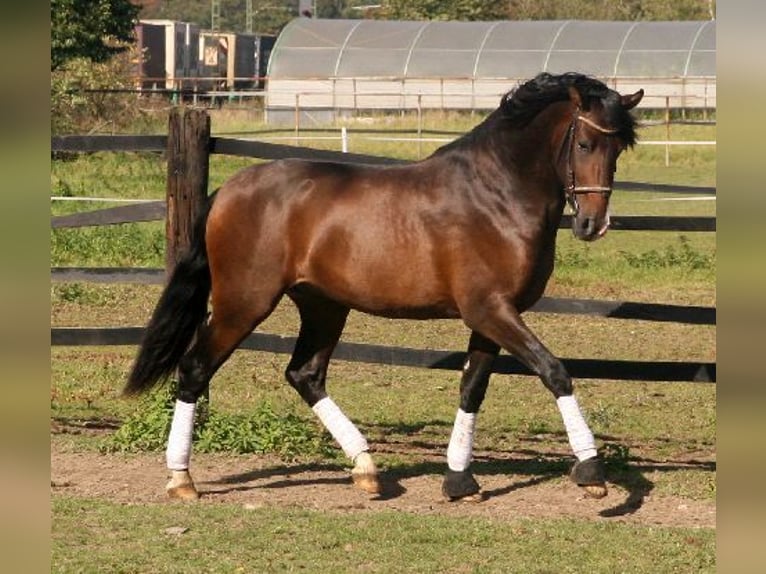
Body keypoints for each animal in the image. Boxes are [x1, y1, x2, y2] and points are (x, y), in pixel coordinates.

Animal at [129, 72, 644, 504]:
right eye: (584, 142)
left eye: (619, 149)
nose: (592, 225)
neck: (496, 195)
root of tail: (228, 192)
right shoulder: (490, 310)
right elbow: (554, 371)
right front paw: (591, 472)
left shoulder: (490, 316)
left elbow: (471, 388)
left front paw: (459, 481)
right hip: (244, 302)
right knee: (195, 368)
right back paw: (181, 479)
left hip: (324, 306)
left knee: (304, 374)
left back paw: (366, 469)